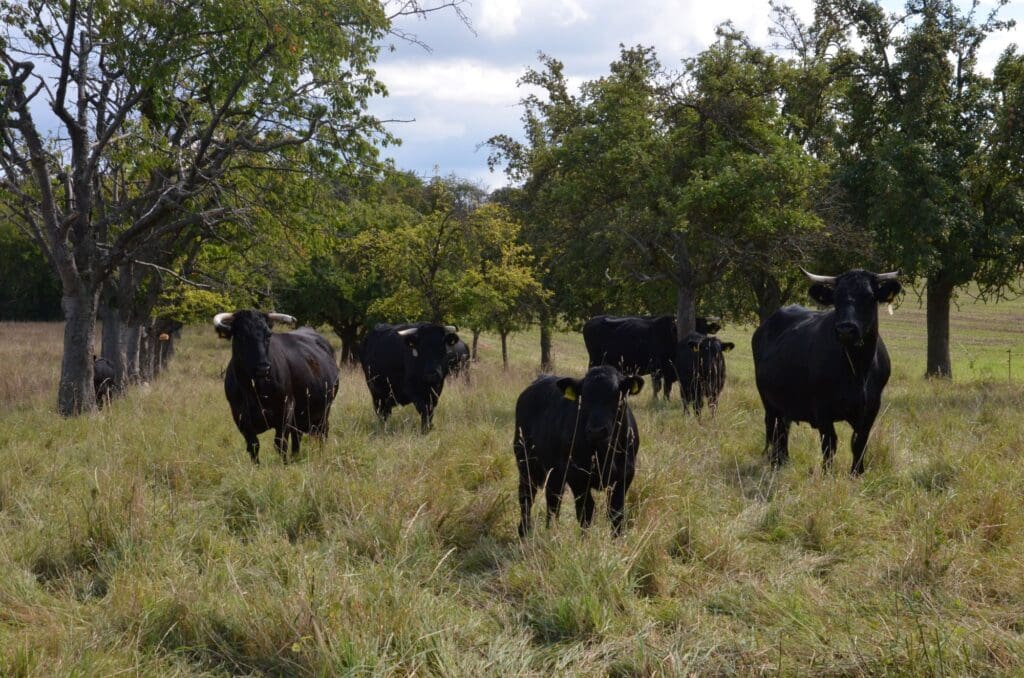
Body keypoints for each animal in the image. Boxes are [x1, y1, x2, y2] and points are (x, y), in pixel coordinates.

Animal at [214, 313, 342, 467]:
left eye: (268, 335)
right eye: (240, 336)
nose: (263, 367)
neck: (254, 389)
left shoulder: (286, 408)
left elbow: (280, 443)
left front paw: (284, 466)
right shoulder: (240, 416)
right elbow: (253, 445)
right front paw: (257, 468)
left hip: (324, 410)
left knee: (322, 432)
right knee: (298, 436)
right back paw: (296, 457)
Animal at [516, 366, 643, 536]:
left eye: (617, 396)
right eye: (584, 398)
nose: (596, 431)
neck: (603, 452)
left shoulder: (625, 475)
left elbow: (616, 513)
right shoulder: (577, 475)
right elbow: (586, 510)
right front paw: (584, 540)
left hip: (554, 471)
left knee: (553, 499)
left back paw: (551, 531)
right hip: (525, 460)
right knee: (527, 495)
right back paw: (524, 531)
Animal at [589, 315, 724, 401]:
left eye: (705, 329)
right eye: (693, 328)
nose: (699, 340)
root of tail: (592, 320)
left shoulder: (670, 372)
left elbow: (667, 389)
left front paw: (665, 401)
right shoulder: (656, 368)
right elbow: (657, 387)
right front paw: (655, 400)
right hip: (594, 361)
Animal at [749, 268, 901, 475]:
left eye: (870, 297)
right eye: (836, 298)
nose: (846, 329)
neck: (858, 369)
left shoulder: (871, 408)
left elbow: (859, 443)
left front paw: (857, 474)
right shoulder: (822, 408)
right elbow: (829, 443)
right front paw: (827, 474)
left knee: (783, 429)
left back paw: (784, 462)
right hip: (769, 402)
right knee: (774, 430)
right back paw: (776, 463)